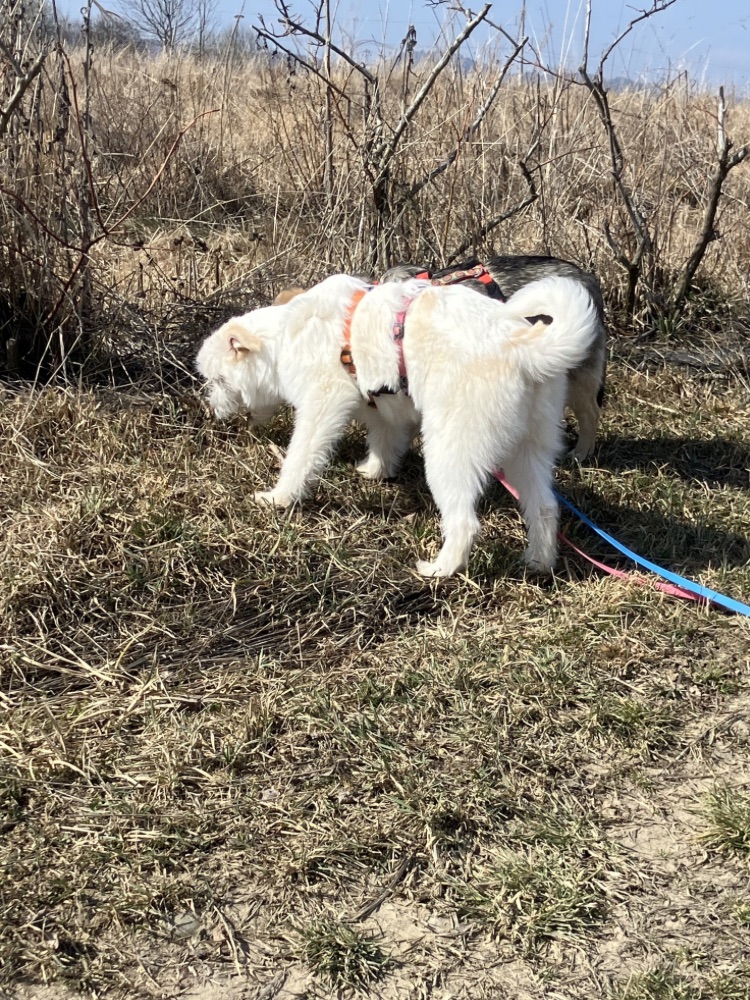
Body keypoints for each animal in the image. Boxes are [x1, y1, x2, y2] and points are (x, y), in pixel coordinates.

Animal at [195, 273, 599, 577]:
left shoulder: (322, 407)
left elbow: (300, 459)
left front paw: (279, 498)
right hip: (528, 452)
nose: (212, 412)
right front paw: (376, 470)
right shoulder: (380, 408)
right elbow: (385, 441)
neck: (286, 336)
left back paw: (440, 569)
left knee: (465, 523)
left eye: (217, 380)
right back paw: (538, 563)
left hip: (449, 454)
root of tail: (522, 345)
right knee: (545, 508)